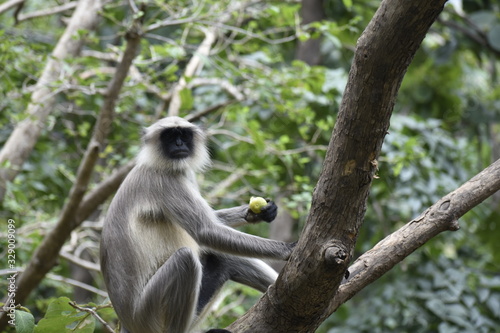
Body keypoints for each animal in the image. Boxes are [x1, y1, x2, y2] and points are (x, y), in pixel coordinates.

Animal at [100, 116, 296, 332]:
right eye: (170, 136)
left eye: (184, 135)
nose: (179, 144)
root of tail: (127, 322)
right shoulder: (165, 181)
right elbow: (205, 231)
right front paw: (288, 249)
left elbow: (212, 226)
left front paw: (257, 213)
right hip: (147, 314)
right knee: (185, 259)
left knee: (223, 256)